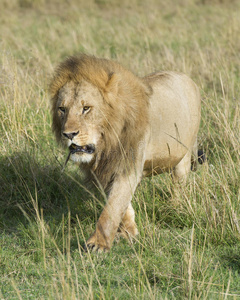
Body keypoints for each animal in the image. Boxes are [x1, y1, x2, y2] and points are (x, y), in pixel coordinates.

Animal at [49, 53, 202, 251]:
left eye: (86, 108)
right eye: (62, 109)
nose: (68, 134)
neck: (106, 143)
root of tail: (187, 78)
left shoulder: (128, 164)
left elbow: (112, 207)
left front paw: (98, 244)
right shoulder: (105, 170)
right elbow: (121, 204)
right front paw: (128, 231)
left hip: (184, 154)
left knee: (179, 183)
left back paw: (176, 206)